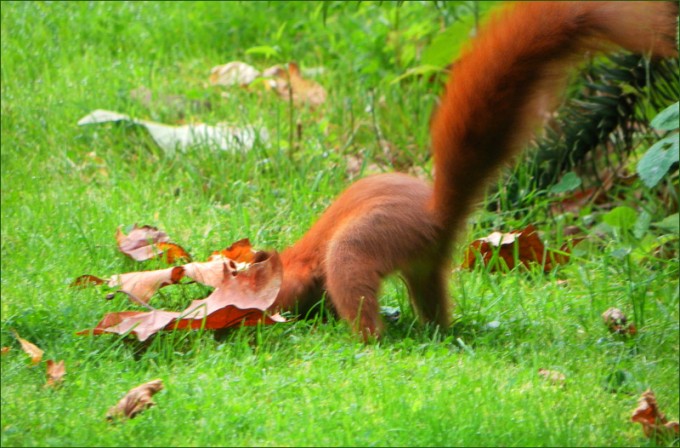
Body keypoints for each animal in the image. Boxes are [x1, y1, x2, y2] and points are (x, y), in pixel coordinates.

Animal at [268, 2, 678, 340]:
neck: (292, 256)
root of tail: (436, 215)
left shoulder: (300, 272)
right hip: (426, 266)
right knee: (433, 299)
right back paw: (437, 331)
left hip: (362, 243)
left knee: (357, 290)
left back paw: (370, 338)